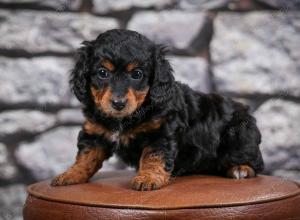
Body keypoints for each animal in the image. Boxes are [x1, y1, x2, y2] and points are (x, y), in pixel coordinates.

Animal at [51, 28, 262, 191]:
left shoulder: (160, 135)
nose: (118, 103)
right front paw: (70, 174)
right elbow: (86, 157)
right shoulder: (95, 133)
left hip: (240, 133)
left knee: (256, 162)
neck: (126, 118)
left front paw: (147, 178)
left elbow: (152, 157)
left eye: (137, 74)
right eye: (103, 73)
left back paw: (241, 169)